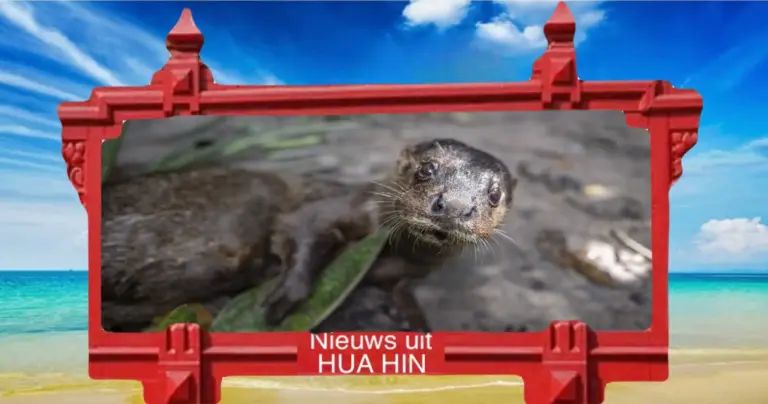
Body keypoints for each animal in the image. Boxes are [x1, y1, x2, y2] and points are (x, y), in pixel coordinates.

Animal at [101, 138, 516, 332]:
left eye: (494, 194)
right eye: (426, 170)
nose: (456, 206)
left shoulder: (409, 273)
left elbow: (402, 293)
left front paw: (413, 319)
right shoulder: (330, 207)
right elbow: (301, 227)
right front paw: (284, 297)